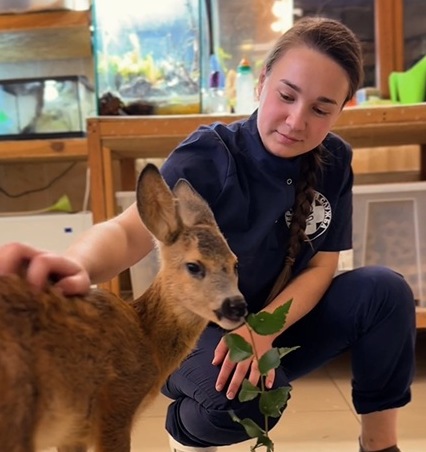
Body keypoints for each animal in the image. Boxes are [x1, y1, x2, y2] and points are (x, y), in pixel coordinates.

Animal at [0, 163, 247, 452]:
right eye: (193, 266)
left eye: (235, 263)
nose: (236, 306)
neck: (147, 337)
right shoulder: (117, 402)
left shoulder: (73, 432)